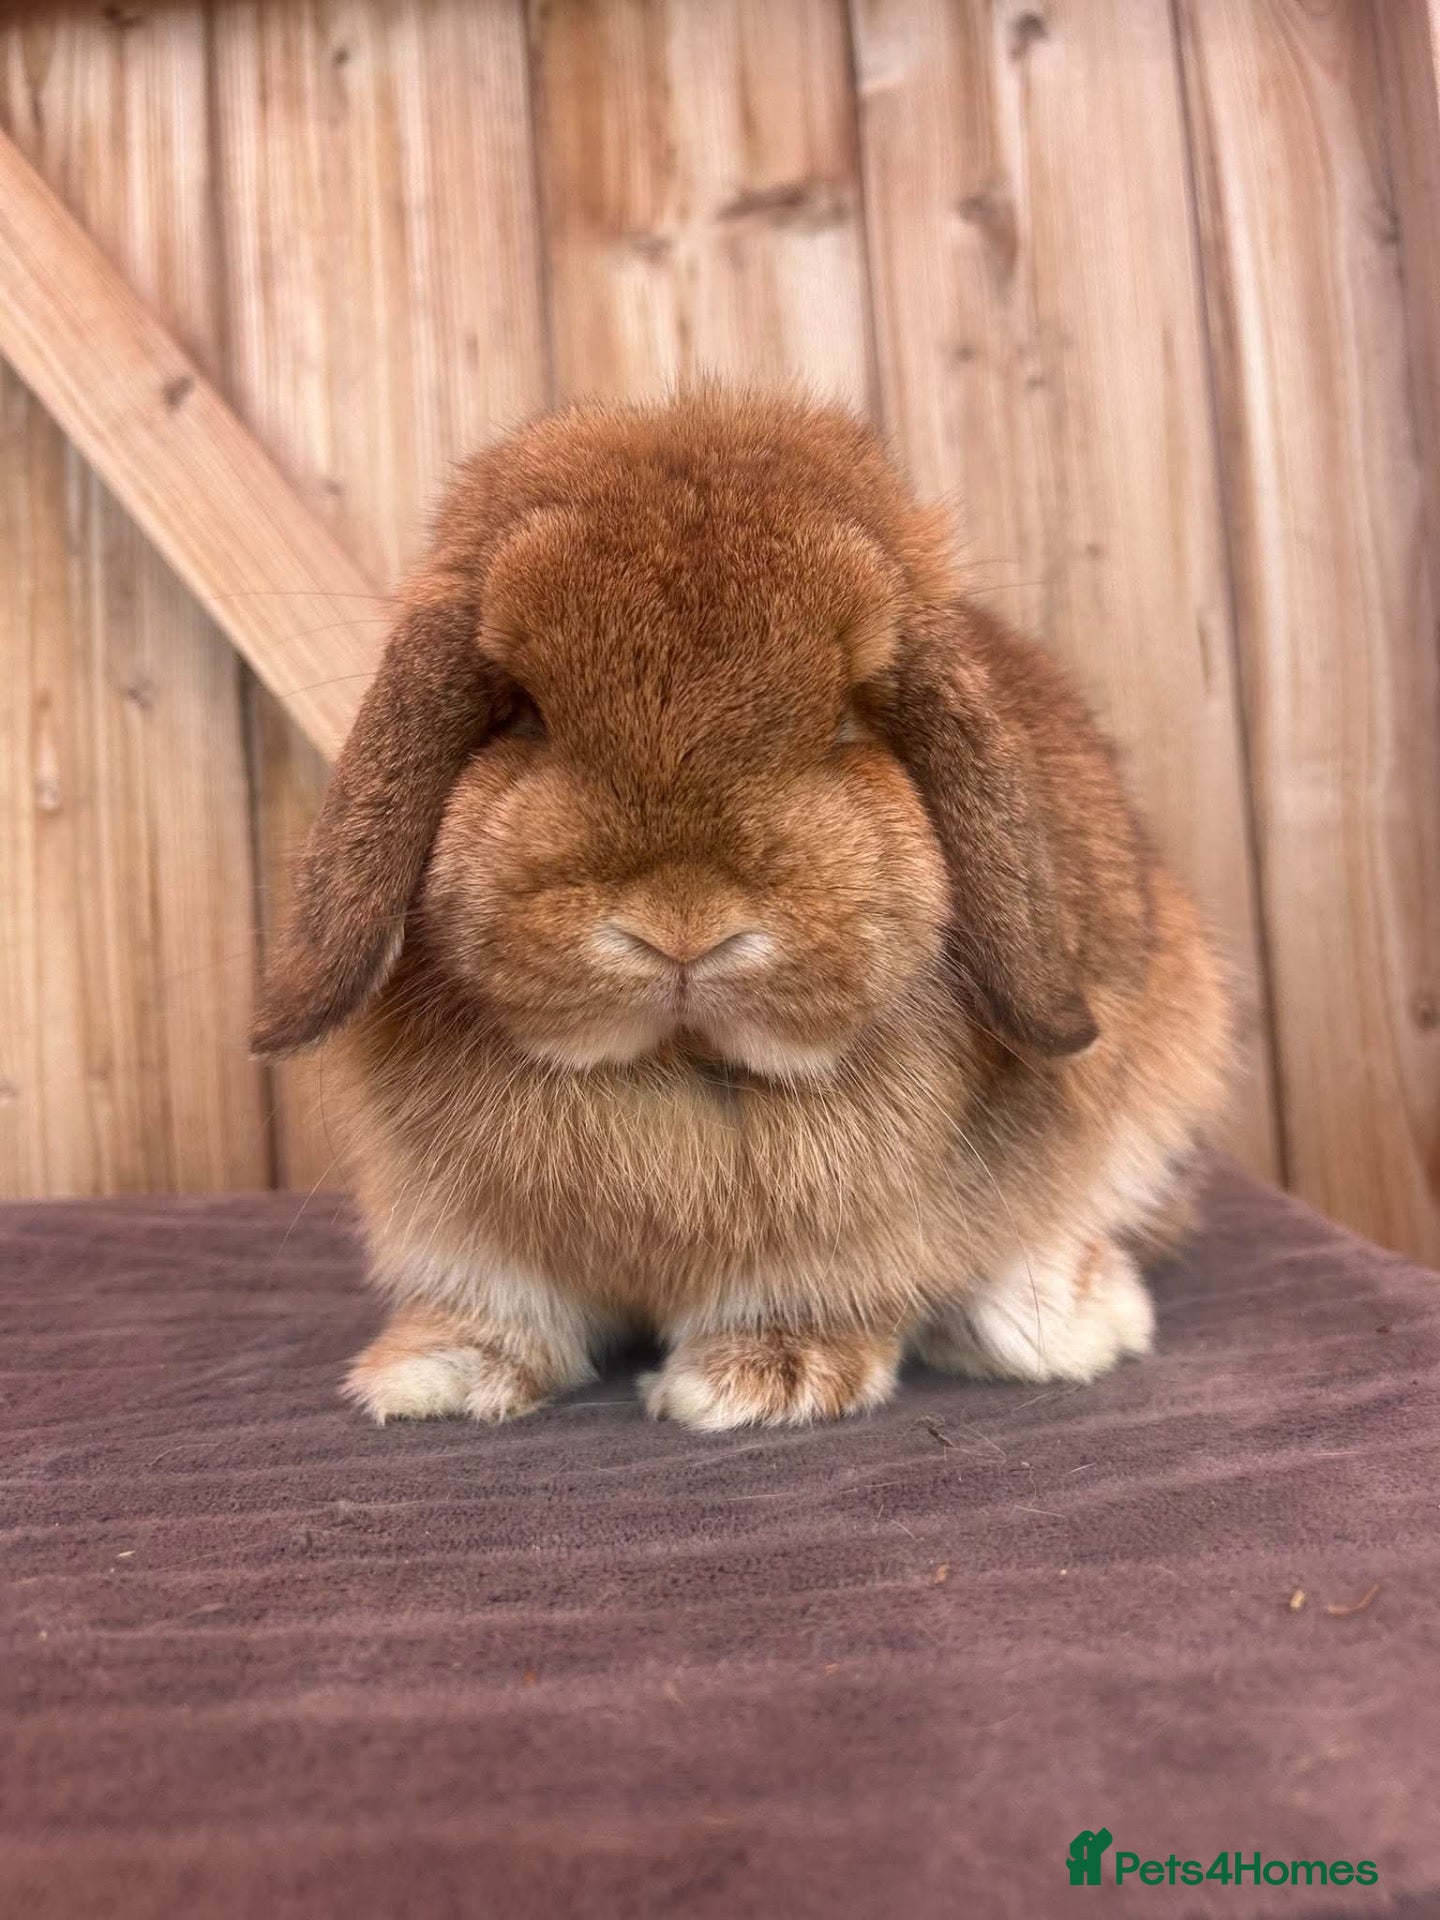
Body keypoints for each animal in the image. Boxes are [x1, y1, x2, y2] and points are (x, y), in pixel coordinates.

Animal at [252, 390, 1231, 1432]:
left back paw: (1066, 1321)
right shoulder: (455, 1227)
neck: (673, 1068)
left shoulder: (847, 1236)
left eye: (847, 720)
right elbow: (499, 1304)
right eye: (521, 713)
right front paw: (435, 1374)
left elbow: (811, 1292)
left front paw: (757, 1379)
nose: (683, 926)